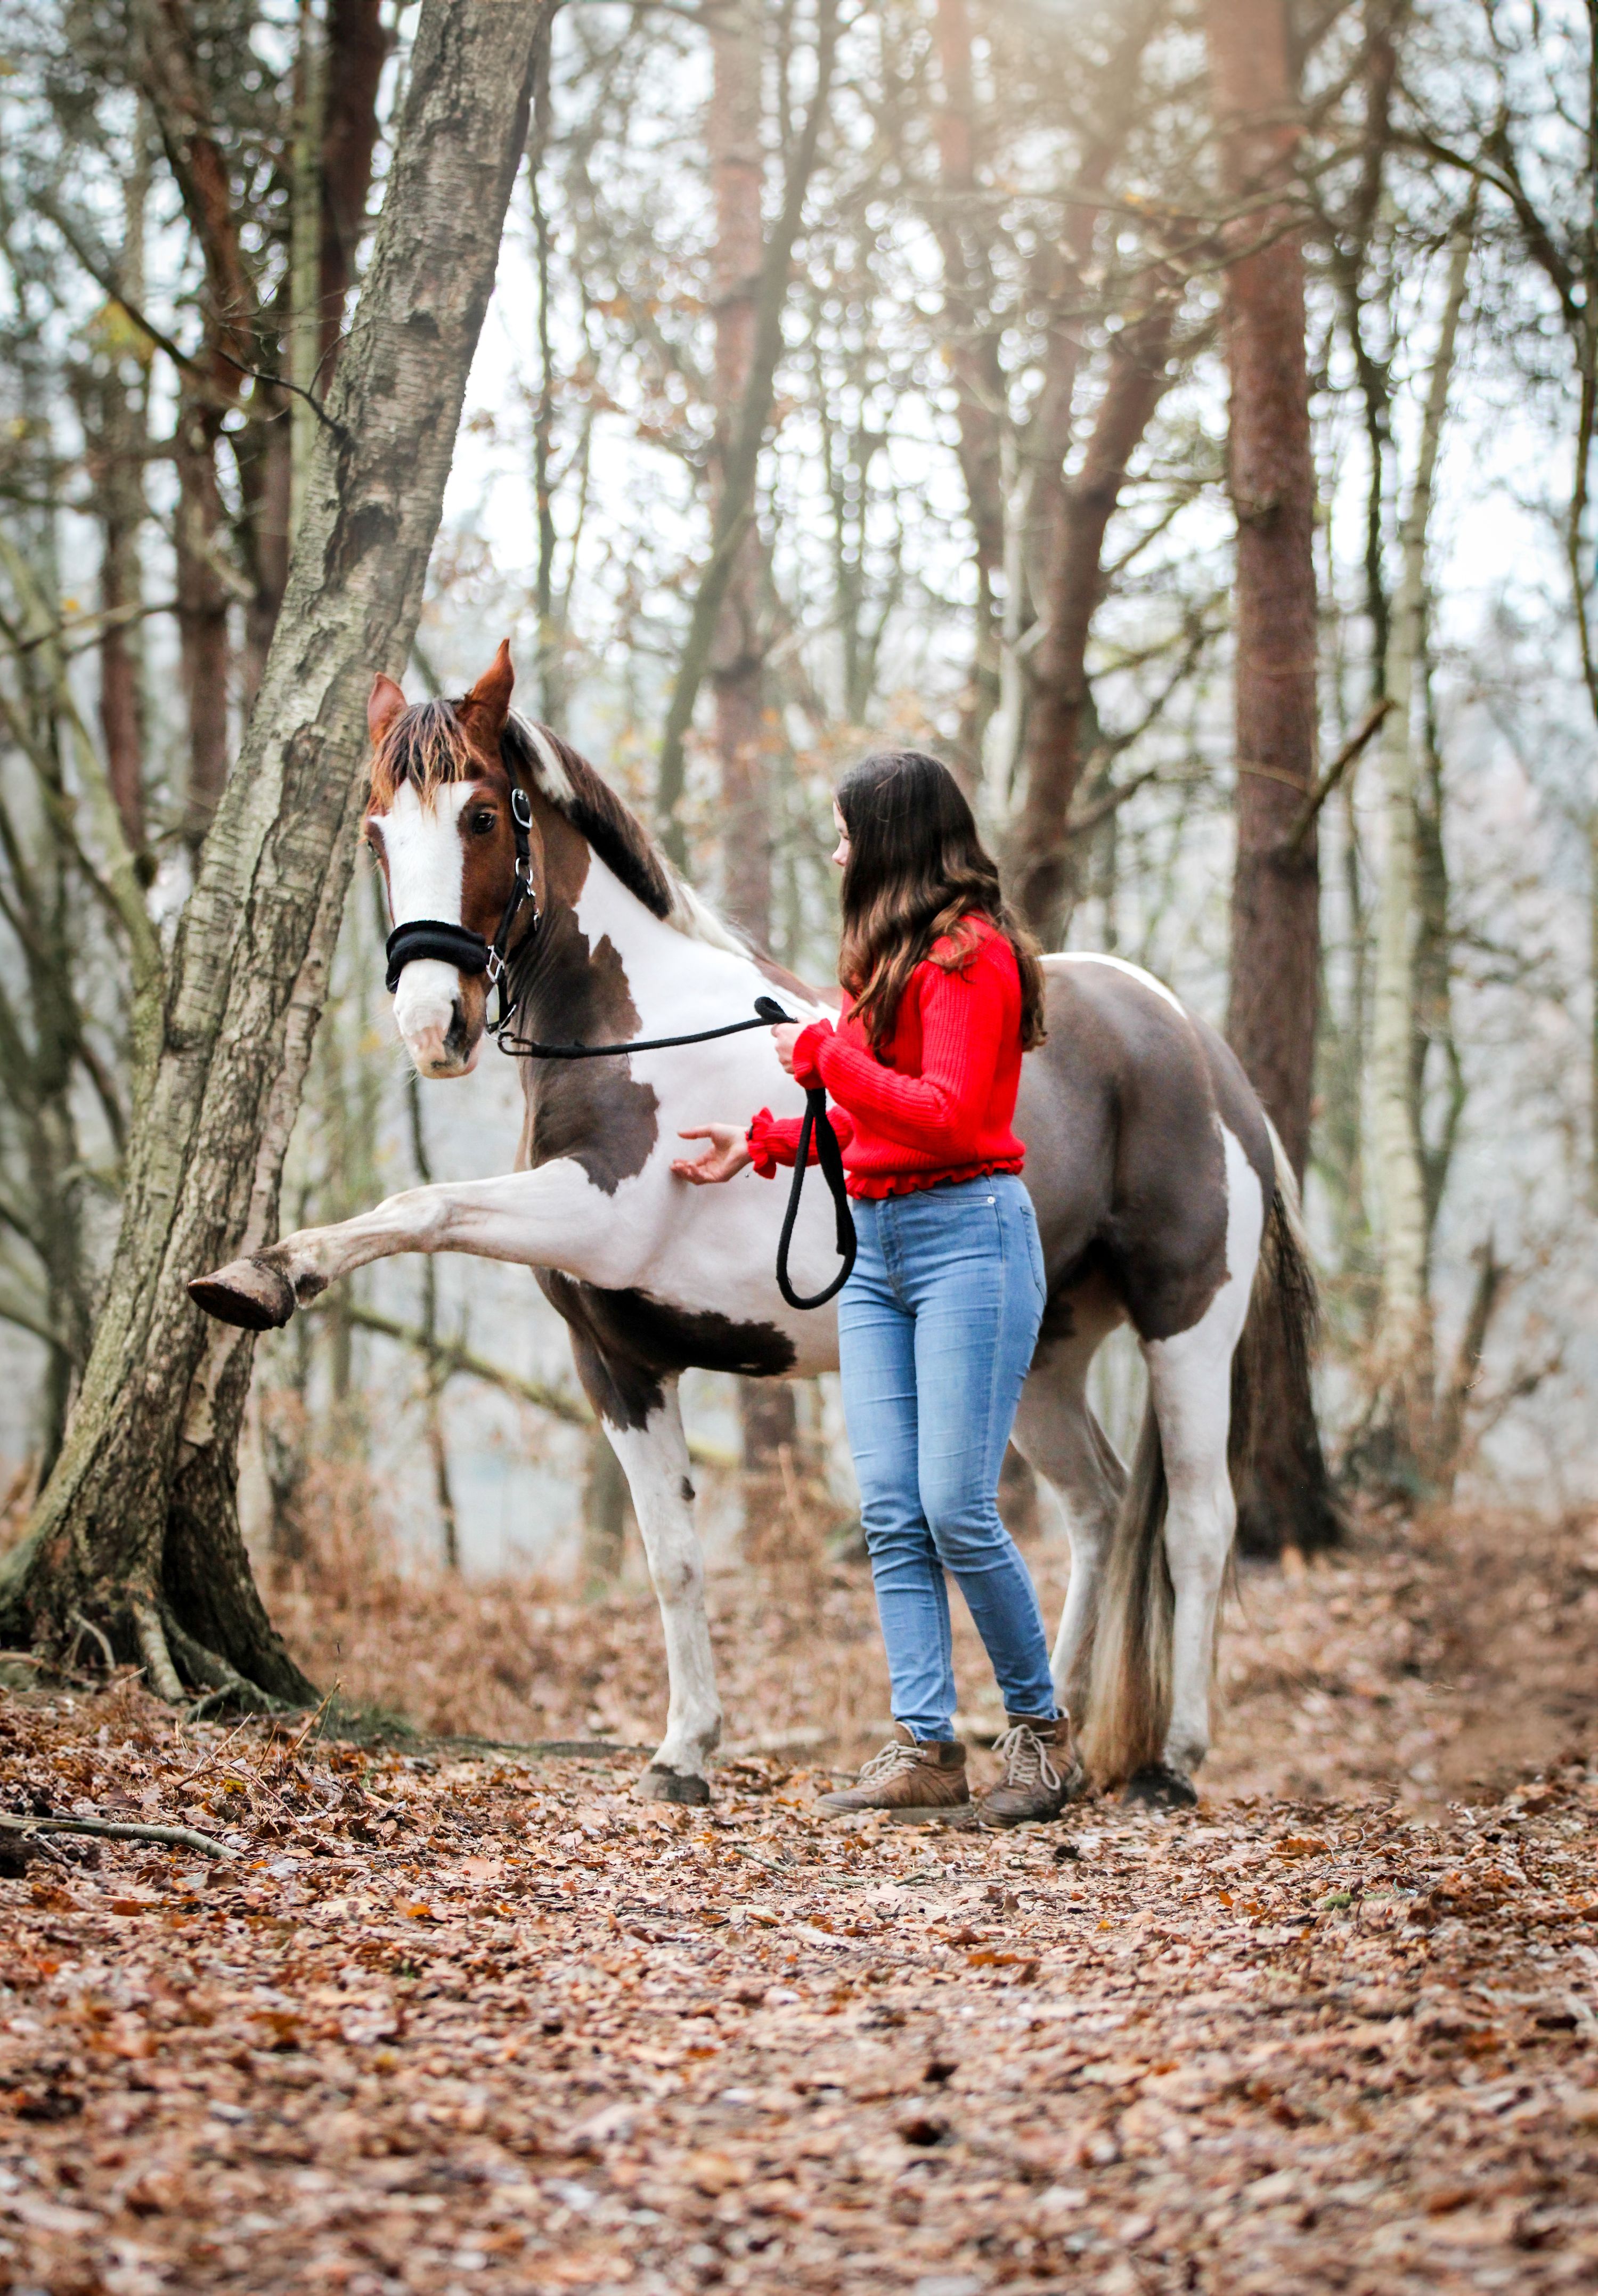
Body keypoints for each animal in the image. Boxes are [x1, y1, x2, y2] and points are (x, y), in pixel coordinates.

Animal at [190, 642, 1322, 1809]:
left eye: (482, 817)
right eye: (375, 832)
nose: (432, 1027)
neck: (631, 1030)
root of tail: (1195, 1044)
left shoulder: (595, 1213)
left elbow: (427, 1205)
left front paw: (266, 1275)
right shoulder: (618, 1362)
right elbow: (674, 1558)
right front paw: (682, 1752)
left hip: (1187, 1329)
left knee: (1198, 1525)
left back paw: (1171, 1763)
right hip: (1039, 1356)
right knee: (1097, 1509)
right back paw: (1065, 1743)